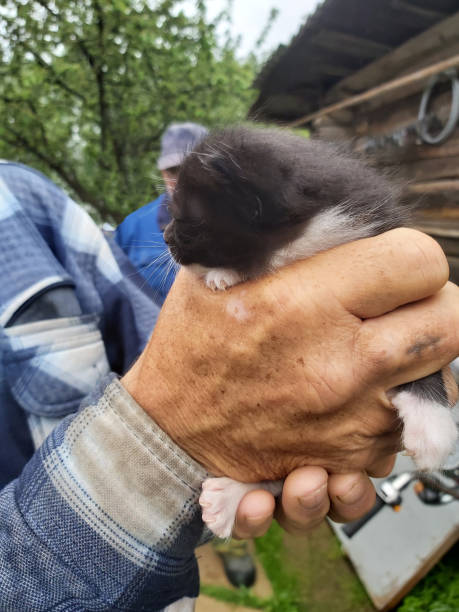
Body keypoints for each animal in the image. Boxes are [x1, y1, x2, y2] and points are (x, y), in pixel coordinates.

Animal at [164, 126, 458, 536]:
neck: (306, 238)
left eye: (186, 219)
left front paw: (433, 428)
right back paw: (228, 499)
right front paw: (224, 276)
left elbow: (423, 349)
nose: (165, 237)